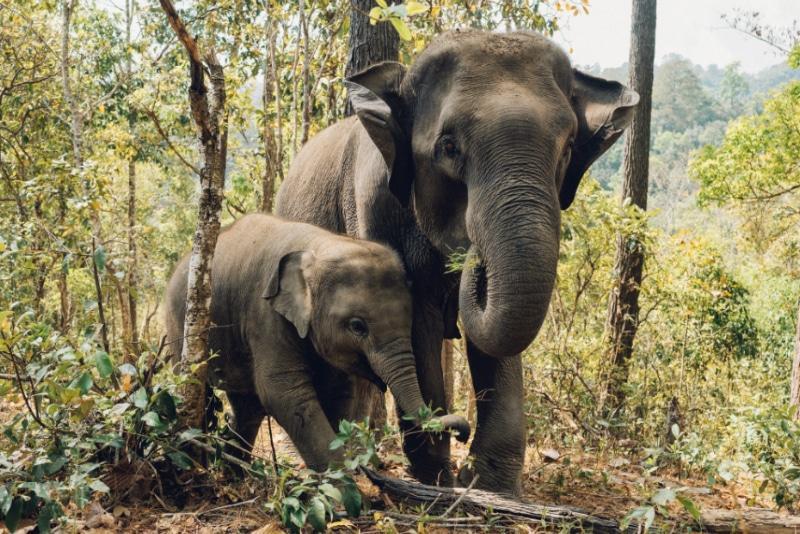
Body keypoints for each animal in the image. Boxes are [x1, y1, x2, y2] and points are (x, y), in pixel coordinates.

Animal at [164, 213, 470, 472]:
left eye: (410, 321)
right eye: (357, 326)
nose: (463, 434)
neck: (319, 246)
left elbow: (338, 393)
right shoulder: (265, 315)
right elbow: (284, 393)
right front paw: (346, 492)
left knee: (247, 407)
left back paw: (236, 473)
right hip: (180, 326)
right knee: (198, 390)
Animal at [275, 30, 638, 494]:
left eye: (568, 148)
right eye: (448, 147)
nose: (472, 256)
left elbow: (495, 338)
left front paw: (490, 485)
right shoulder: (375, 207)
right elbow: (417, 320)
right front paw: (438, 478)